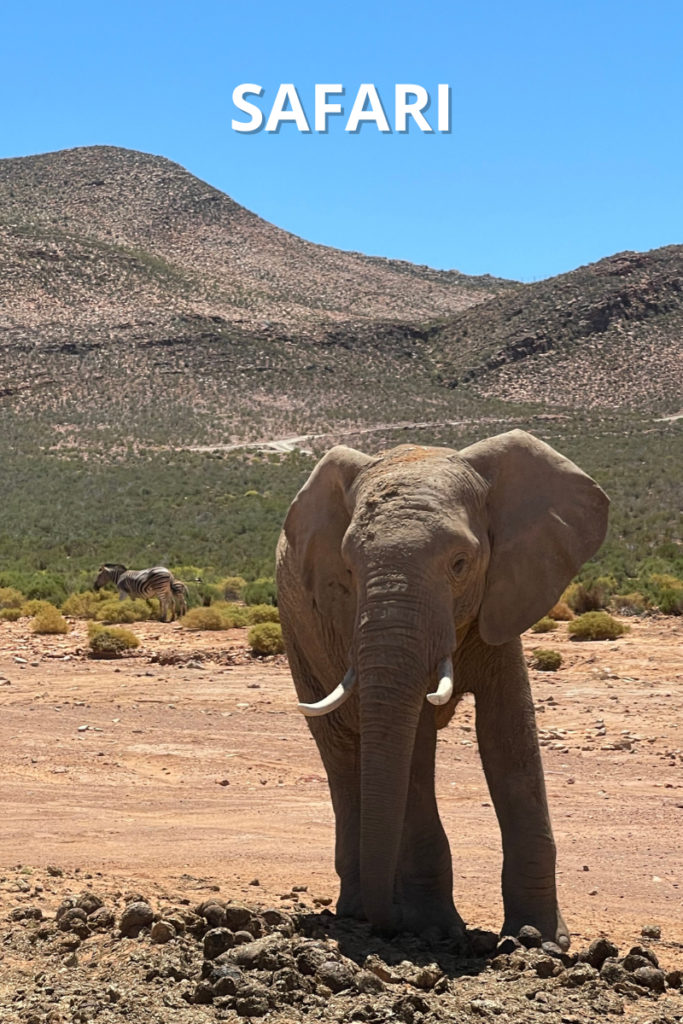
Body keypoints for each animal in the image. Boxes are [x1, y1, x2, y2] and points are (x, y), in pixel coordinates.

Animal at [275, 430, 609, 946]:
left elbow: (509, 734)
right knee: (342, 756)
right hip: (300, 635)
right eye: (347, 571)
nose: (388, 926)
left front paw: (539, 940)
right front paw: (434, 930)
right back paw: (362, 909)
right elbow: (415, 744)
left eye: (460, 563)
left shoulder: (508, 589)